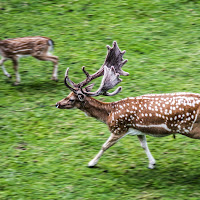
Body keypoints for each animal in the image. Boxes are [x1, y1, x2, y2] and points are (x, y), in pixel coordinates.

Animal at [55, 41, 199, 169]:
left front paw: (91, 163)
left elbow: (104, 146)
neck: (108, 114)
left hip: (191, 128)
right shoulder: (138, 130)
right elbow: (144, 145)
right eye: (67, 94)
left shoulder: (119, 128)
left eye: (72, 99)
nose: (57, 104)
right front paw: (152, 163)